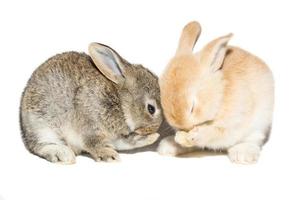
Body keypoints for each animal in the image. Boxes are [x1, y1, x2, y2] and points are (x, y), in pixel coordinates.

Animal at [19, 43, 163, 163]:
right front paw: (109, 156)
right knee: (41, 145)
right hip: (41, 126)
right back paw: (63, 155)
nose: (150, 130)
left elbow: (126, 143)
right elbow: (94, 143)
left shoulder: (116, 137)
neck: (120, 102)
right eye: (151, 108)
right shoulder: (90, 124)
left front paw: (152, 138)